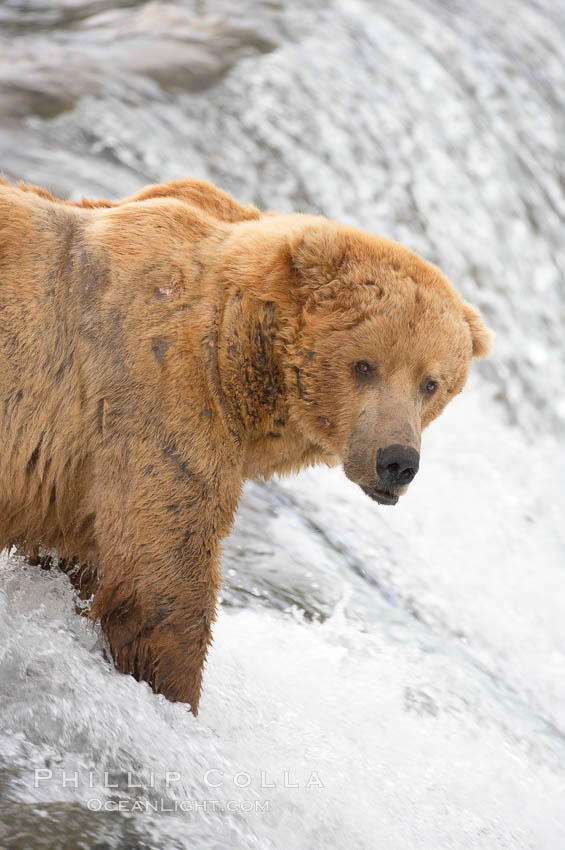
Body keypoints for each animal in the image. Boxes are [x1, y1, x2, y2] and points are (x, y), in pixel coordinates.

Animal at [0, 176, 490, 712]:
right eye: (364, 365)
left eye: (431, 383)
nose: (397, 461)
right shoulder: (158, 399)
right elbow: (162, 581)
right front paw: (175, 695)